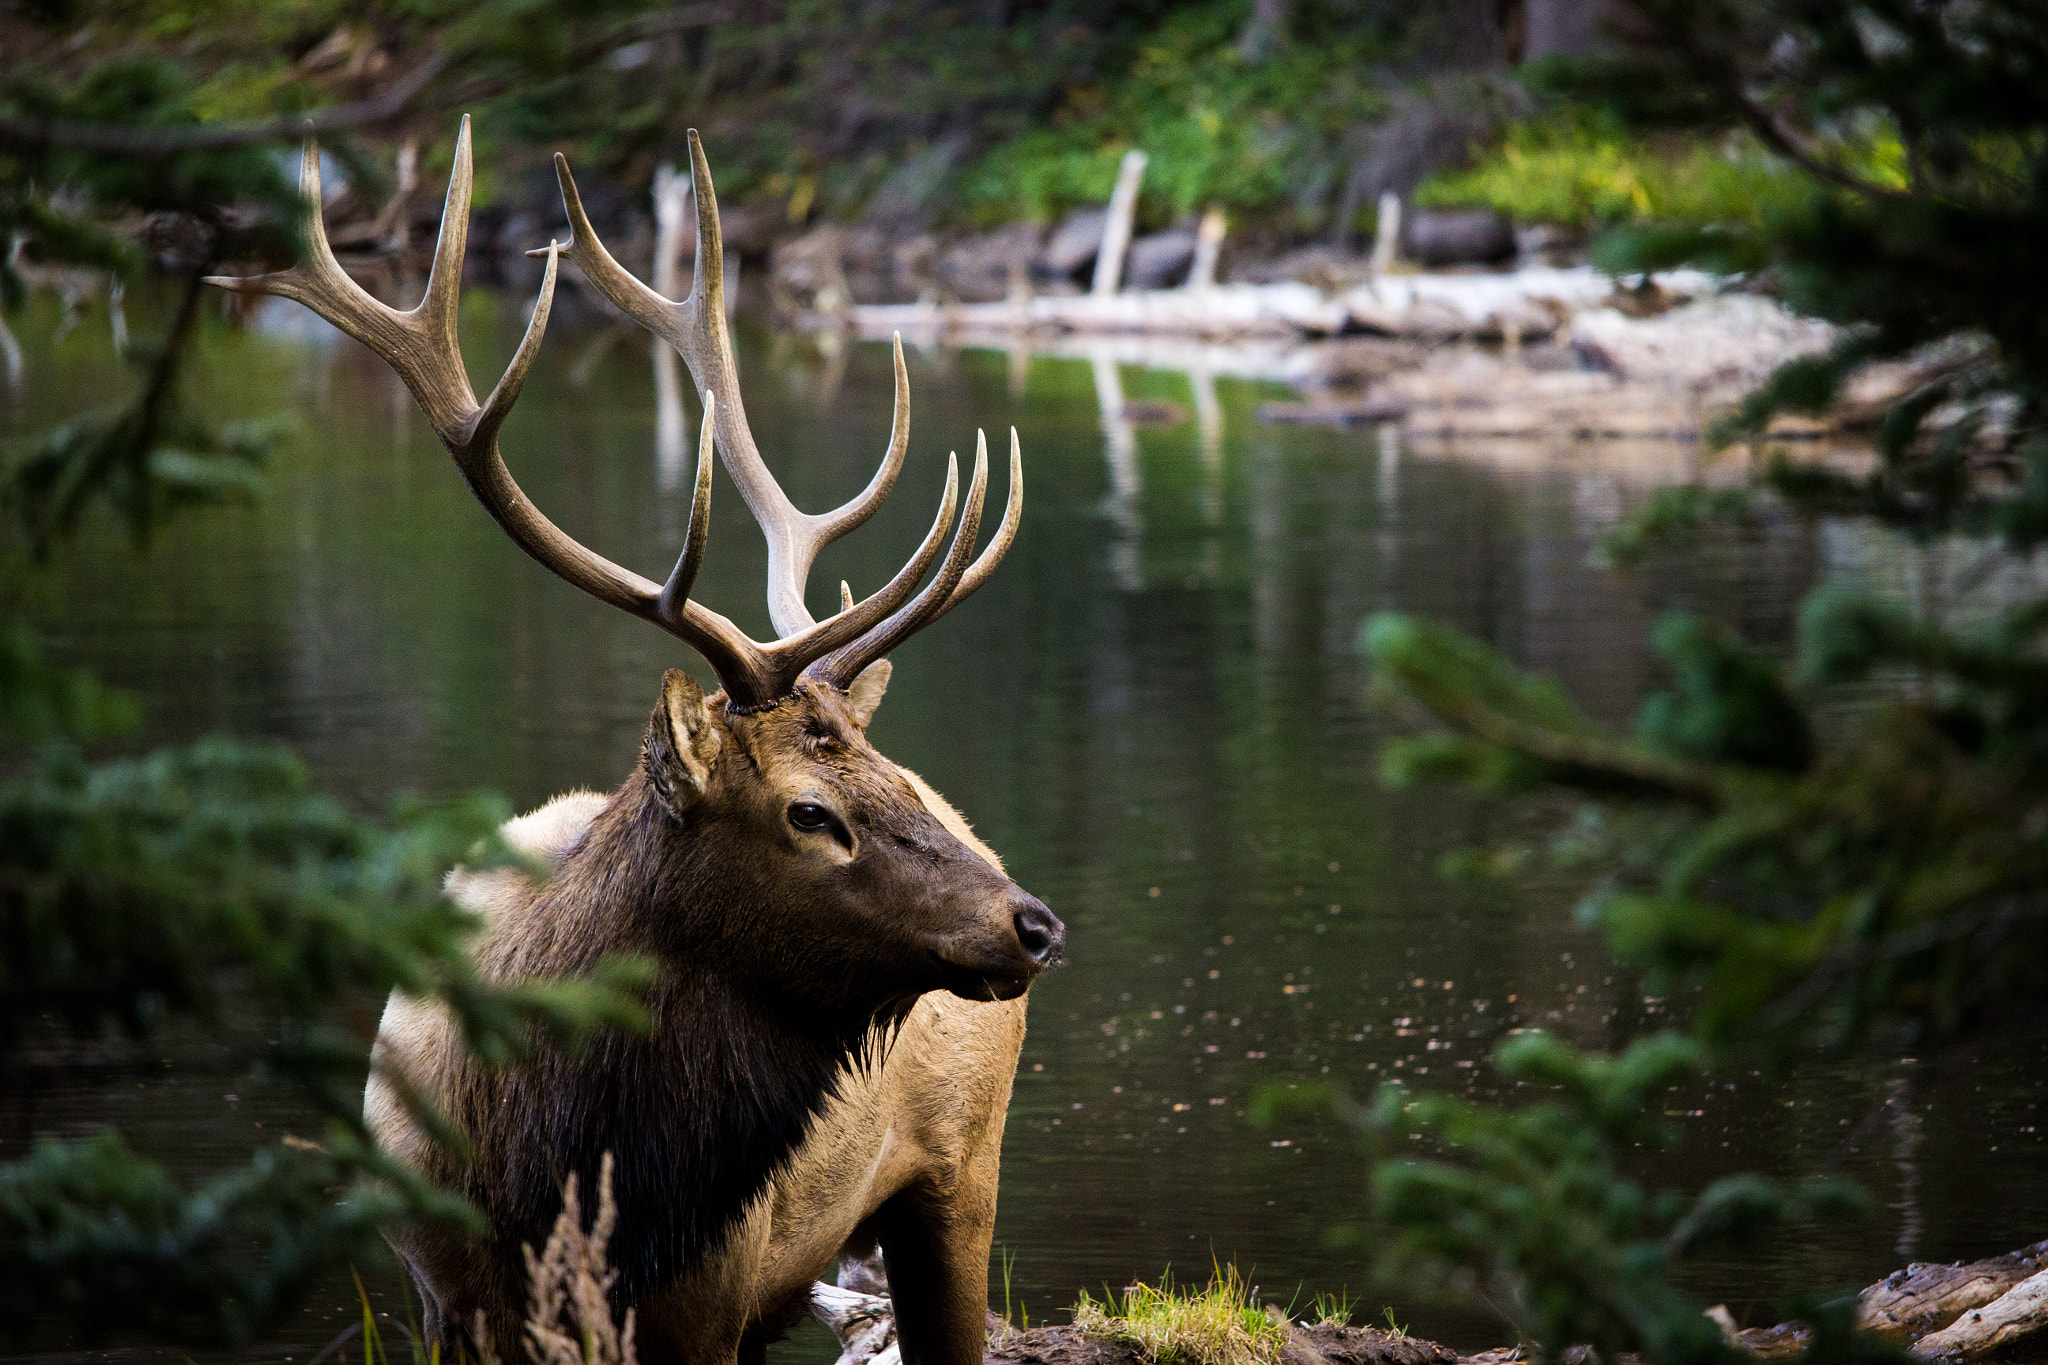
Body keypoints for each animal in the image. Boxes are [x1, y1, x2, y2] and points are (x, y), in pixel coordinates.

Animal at [205, 117, 1063, 1364]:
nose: (1032, 922)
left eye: (890, 780)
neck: (545, 1164)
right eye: (810, 810)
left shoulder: (707, 1294)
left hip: (956, 1172)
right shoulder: (438, 1294)